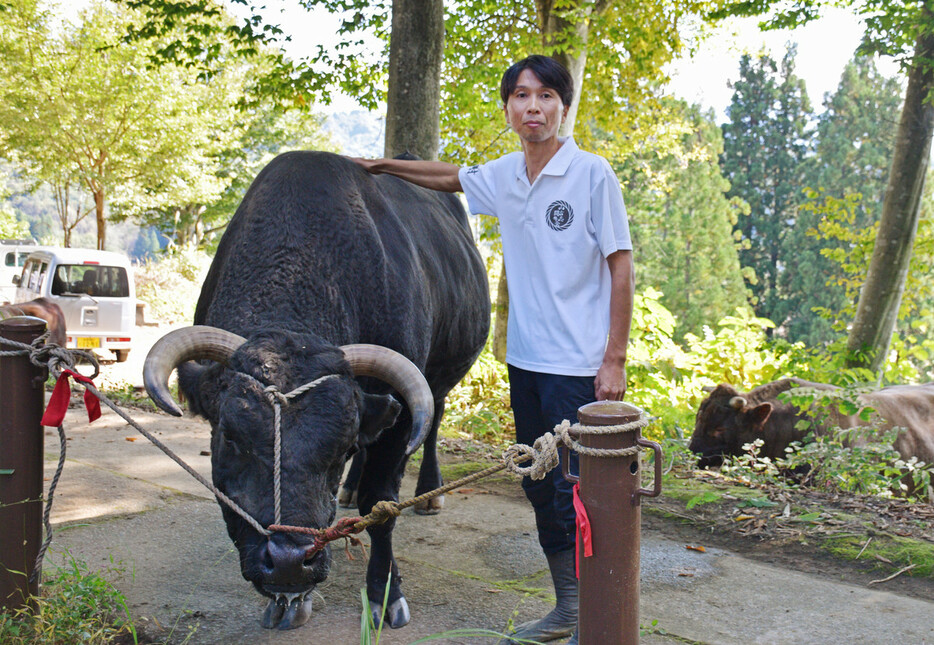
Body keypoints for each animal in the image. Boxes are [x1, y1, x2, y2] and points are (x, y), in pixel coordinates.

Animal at [143, 151, 494, 628]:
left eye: (341, 448)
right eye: (230, 438)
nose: (290, 561)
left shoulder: (405, 411)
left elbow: (380, 505)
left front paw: (385, 593)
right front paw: (288, 602)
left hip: (438, 378)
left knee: (434, 419)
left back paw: (428, 492)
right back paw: (348, 491)